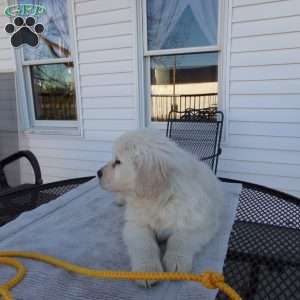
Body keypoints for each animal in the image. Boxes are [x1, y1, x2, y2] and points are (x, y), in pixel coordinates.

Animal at [97, 129, 224, 288]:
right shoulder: (136, 224)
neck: (159, 200)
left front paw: (176, 261)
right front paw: (147, 270)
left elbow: (181, 238)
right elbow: (144, 245)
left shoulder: (201, 223)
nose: (98, 173)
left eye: (118, 162)